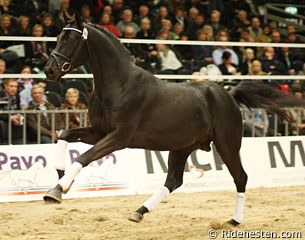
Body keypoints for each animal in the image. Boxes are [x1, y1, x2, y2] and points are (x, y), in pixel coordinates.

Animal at [42, 10, 302, 226]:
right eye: (58, 37)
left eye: (71, 39)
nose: (50, 70)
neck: (119, 85)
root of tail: (229, 95)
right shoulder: (99, 131)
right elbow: (64, 134)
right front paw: (60, 176)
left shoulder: (119, 137)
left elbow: (84, 157)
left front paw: (56, 191)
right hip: (182, 147)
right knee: (174, 181)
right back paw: (139, 212)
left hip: (226, 145)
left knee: (240, 177)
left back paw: (234, 220)